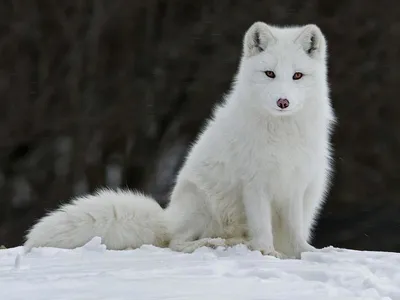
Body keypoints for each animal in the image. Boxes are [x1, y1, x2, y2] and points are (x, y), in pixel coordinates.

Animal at [23, 21, 334, 258]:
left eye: (297, 75)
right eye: (270, 74)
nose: (283, 102)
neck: (282, 133)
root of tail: (167, 217)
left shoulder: (295, 185)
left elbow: (294, 231)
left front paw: (305, 254)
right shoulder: (255, 185)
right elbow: (262, 229)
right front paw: (268, 253)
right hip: (202, 202)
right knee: (176, 242)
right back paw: (215, 243)